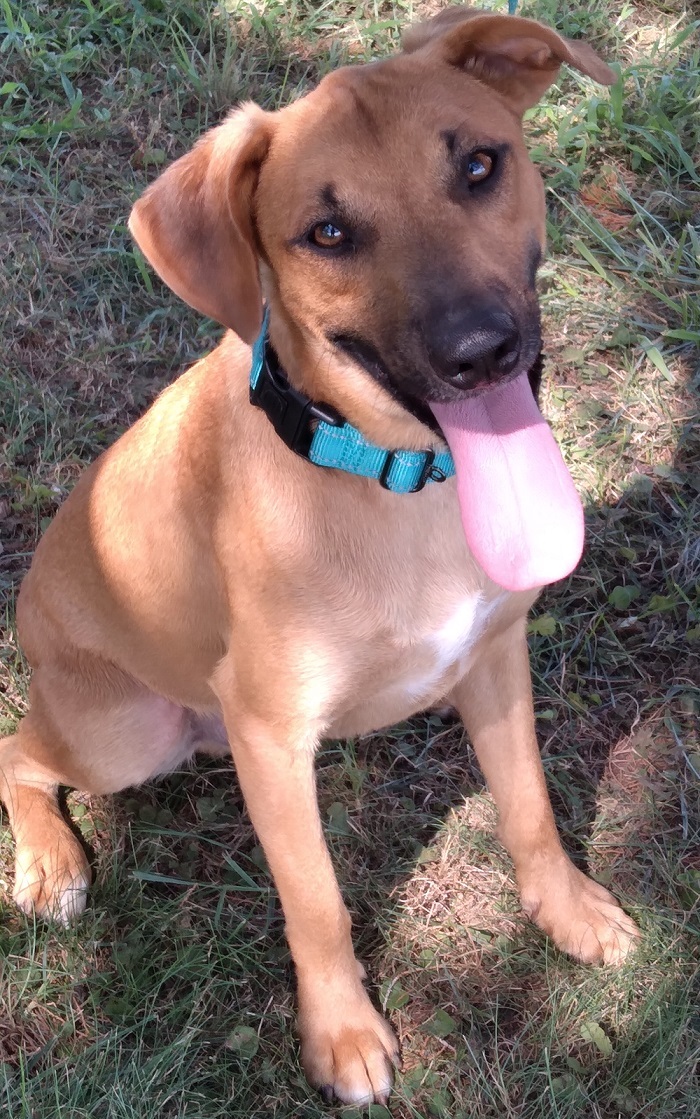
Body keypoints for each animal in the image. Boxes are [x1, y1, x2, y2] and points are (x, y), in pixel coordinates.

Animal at [0, 6, 635, 1110]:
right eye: (327, 233)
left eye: (479, 164)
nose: (482, 352)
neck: (392, 482)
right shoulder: (273, 734)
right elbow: (318, 903)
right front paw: (342, 1034)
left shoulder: (496, 659)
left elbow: (530, 809)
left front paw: (567, 910)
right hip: (124, 730)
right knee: (14, 752)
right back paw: (49, 862)